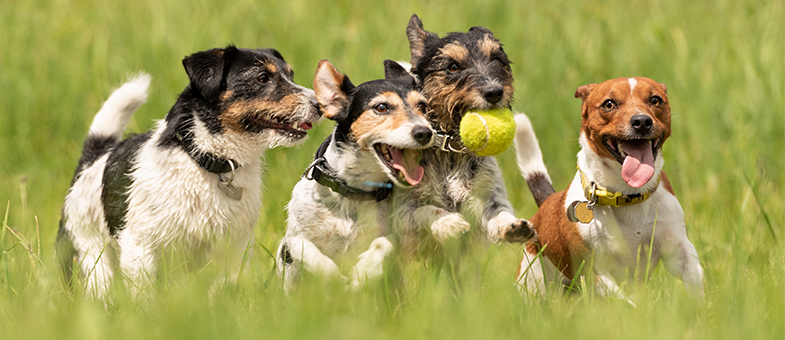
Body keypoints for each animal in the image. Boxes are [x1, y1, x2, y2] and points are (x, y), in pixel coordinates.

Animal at [56, 45, 322, 298]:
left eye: (290, 75)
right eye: (262, 78)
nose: (319, 105)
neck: (207, 162)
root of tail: (92, 161)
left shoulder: (232, 250)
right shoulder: (140, 248)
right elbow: (143, 297)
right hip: (92, 259)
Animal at [276, 59, 434, 290]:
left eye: (422, 106)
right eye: (381, 107)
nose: (425, 132)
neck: (354, 190)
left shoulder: (397, 232)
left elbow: (384, 243)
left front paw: (363, 272)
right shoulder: (293, 240)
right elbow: (310, 253)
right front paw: (336, 280)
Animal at [516, 76, 704, 300]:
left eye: (655, 100)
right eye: (609, 104)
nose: (642, 121)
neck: (628, 195)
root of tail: (546, 203)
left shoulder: (677, 247)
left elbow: (694, 274)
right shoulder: (593, 271)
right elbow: (623, 301)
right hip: (534, 279)